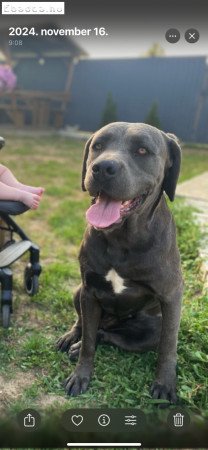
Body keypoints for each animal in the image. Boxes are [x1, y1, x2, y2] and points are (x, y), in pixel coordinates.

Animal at [57, 121, 183, 402]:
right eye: (98, 146)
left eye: (142, 150)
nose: (103, 167)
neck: (121, 238)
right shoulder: (90, 291)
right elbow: (88, 341)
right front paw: (81, 374)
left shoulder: (171, 297)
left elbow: (168, 347)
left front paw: (165, 383)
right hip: (78, 291)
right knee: (86, 325)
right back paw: (72, 339)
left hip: (151, 329)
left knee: (108, 334)